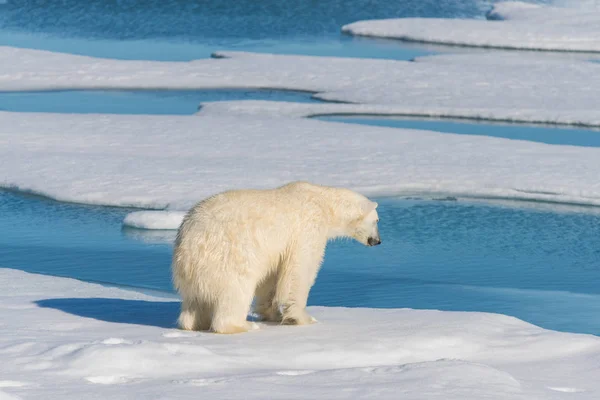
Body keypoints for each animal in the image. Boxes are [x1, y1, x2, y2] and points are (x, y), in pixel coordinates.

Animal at [171, 181, 382, 334]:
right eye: (377, 220)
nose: (378, 241)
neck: (323, 202)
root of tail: (188, 245)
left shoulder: (278, 250)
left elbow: (272, 276)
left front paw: (272, 313)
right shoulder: (308, 228)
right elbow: (299, 271)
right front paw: (302, 318)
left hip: (195, 270)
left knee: (195, 301)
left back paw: (193, 324)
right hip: (228, 255)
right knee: (236, 290)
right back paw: (242, 325)